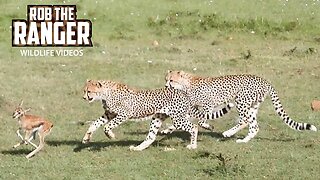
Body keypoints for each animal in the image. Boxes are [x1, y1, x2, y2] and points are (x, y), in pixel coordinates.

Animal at [82, 79, 232, 150]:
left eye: (89, 91)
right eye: (84, 90)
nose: (84, 98)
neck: (105, 93)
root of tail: (183, 93)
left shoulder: (124, 114)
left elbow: (107, 126)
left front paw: (110, 135)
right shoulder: (109, 114)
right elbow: (94, 124)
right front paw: (86, 138)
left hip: (177, 119)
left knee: (193, 127)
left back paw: (193, 145)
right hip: (157, 118)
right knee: (151, 136)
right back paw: (138, 148)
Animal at [165, 70, 318, 143]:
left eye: (171, 80)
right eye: (166, 79)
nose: (166, 86)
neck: (186, 84)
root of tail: (264, 80)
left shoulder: (209, 104)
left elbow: (202, 121)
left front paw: (208, 126)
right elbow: (182, 120)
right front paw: (168, 129)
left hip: (241, 101)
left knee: (244, 121)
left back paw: (228, 133)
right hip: (252, 106)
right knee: (254, 126)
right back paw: (244, 140)